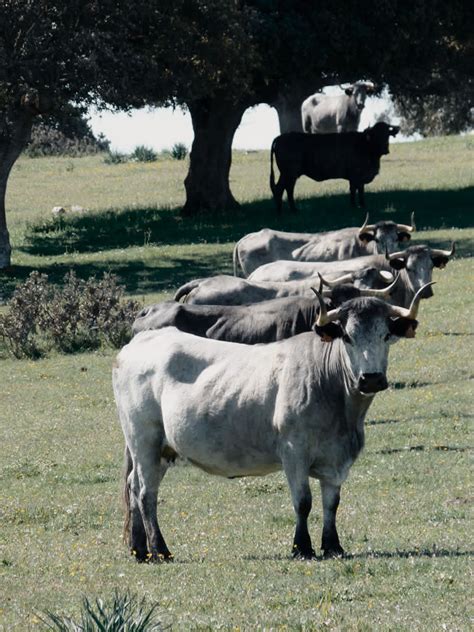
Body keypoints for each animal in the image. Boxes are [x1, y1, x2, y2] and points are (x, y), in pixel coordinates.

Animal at [113, 284, 432, 560]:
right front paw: (302, 547)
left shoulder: (336, 459)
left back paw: (140, 550)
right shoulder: (294, 451)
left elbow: (332, 503)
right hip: (144, 439)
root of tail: (140, 341)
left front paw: (332, 546)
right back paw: (160, 550)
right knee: (145, 493)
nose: (371, 378)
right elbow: (303, 501)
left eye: (385, 335)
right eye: (348, 337)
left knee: (134, 486)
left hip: (161, 449)